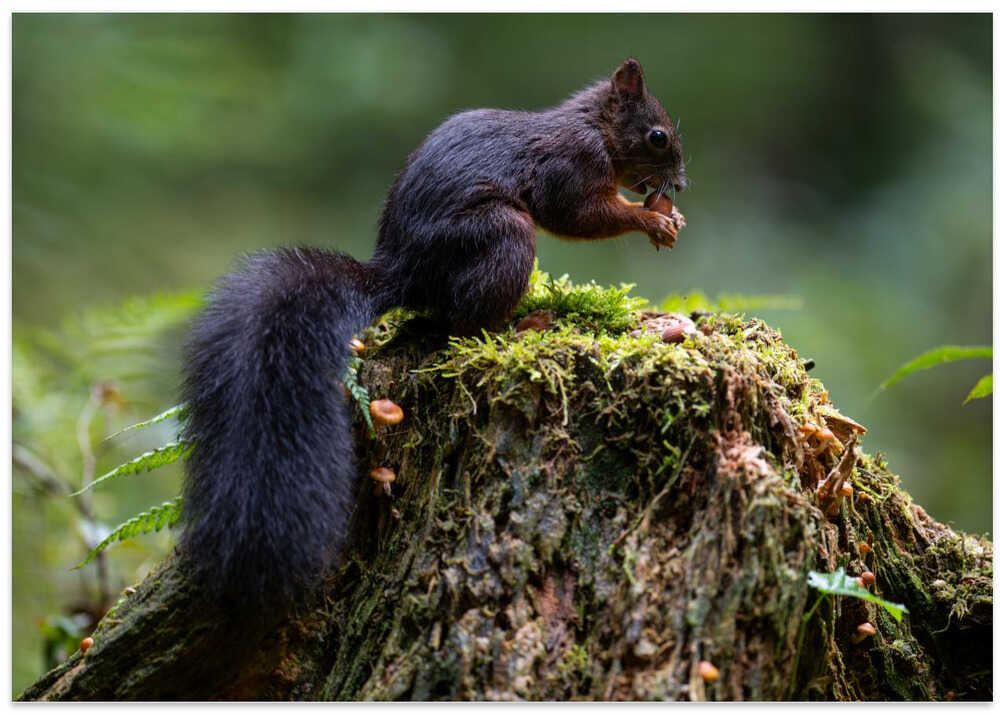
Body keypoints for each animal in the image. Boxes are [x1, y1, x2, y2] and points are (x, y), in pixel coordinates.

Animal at [179, 58, 686, 612]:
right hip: (502, 233)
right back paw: (523, 325)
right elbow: (578, 215)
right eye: (658, 136)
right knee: (468, 324)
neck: (595, 127)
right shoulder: (571, 167)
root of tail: (401, 273)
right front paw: (652, 219)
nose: (682, 185)